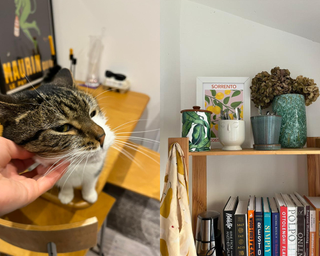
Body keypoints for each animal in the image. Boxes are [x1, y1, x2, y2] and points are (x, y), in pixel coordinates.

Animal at [0, 68, 114, 204]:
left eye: (92, 113)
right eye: (62, 128)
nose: (102, 136)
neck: (77, 167)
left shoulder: (96, 169)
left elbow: (90, 182)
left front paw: (89, 195)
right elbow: (66, 184)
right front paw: (66, 195)